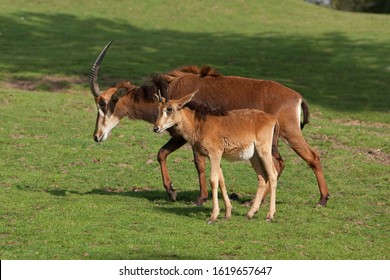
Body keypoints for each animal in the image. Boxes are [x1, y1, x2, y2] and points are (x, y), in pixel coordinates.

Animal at [90, 41, 330, 207]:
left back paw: (322, 199)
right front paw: (172, 192)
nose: (96, 136)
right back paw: (258, 201)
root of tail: (296, 96)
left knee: (311, 157)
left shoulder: (191, 135)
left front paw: (200, 198)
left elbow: (199, 164)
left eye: (102, 103)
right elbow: (161, 154)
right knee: (279, 164)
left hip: (289, 134)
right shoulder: (179, 136)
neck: (170, 89)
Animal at [153, 91, 280, 223]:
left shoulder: (215, 154)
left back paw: (270, 215)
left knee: (272, 174)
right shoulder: (215, 157)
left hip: (264, 151)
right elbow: (221, 180)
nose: (156, 128)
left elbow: (213, 181)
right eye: (159, 108)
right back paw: (250, 213)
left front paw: (214, 215)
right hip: (253, 156)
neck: (199, 125)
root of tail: (273, 119)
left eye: (170, 109)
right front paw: (227, 213)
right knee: (262, 177)